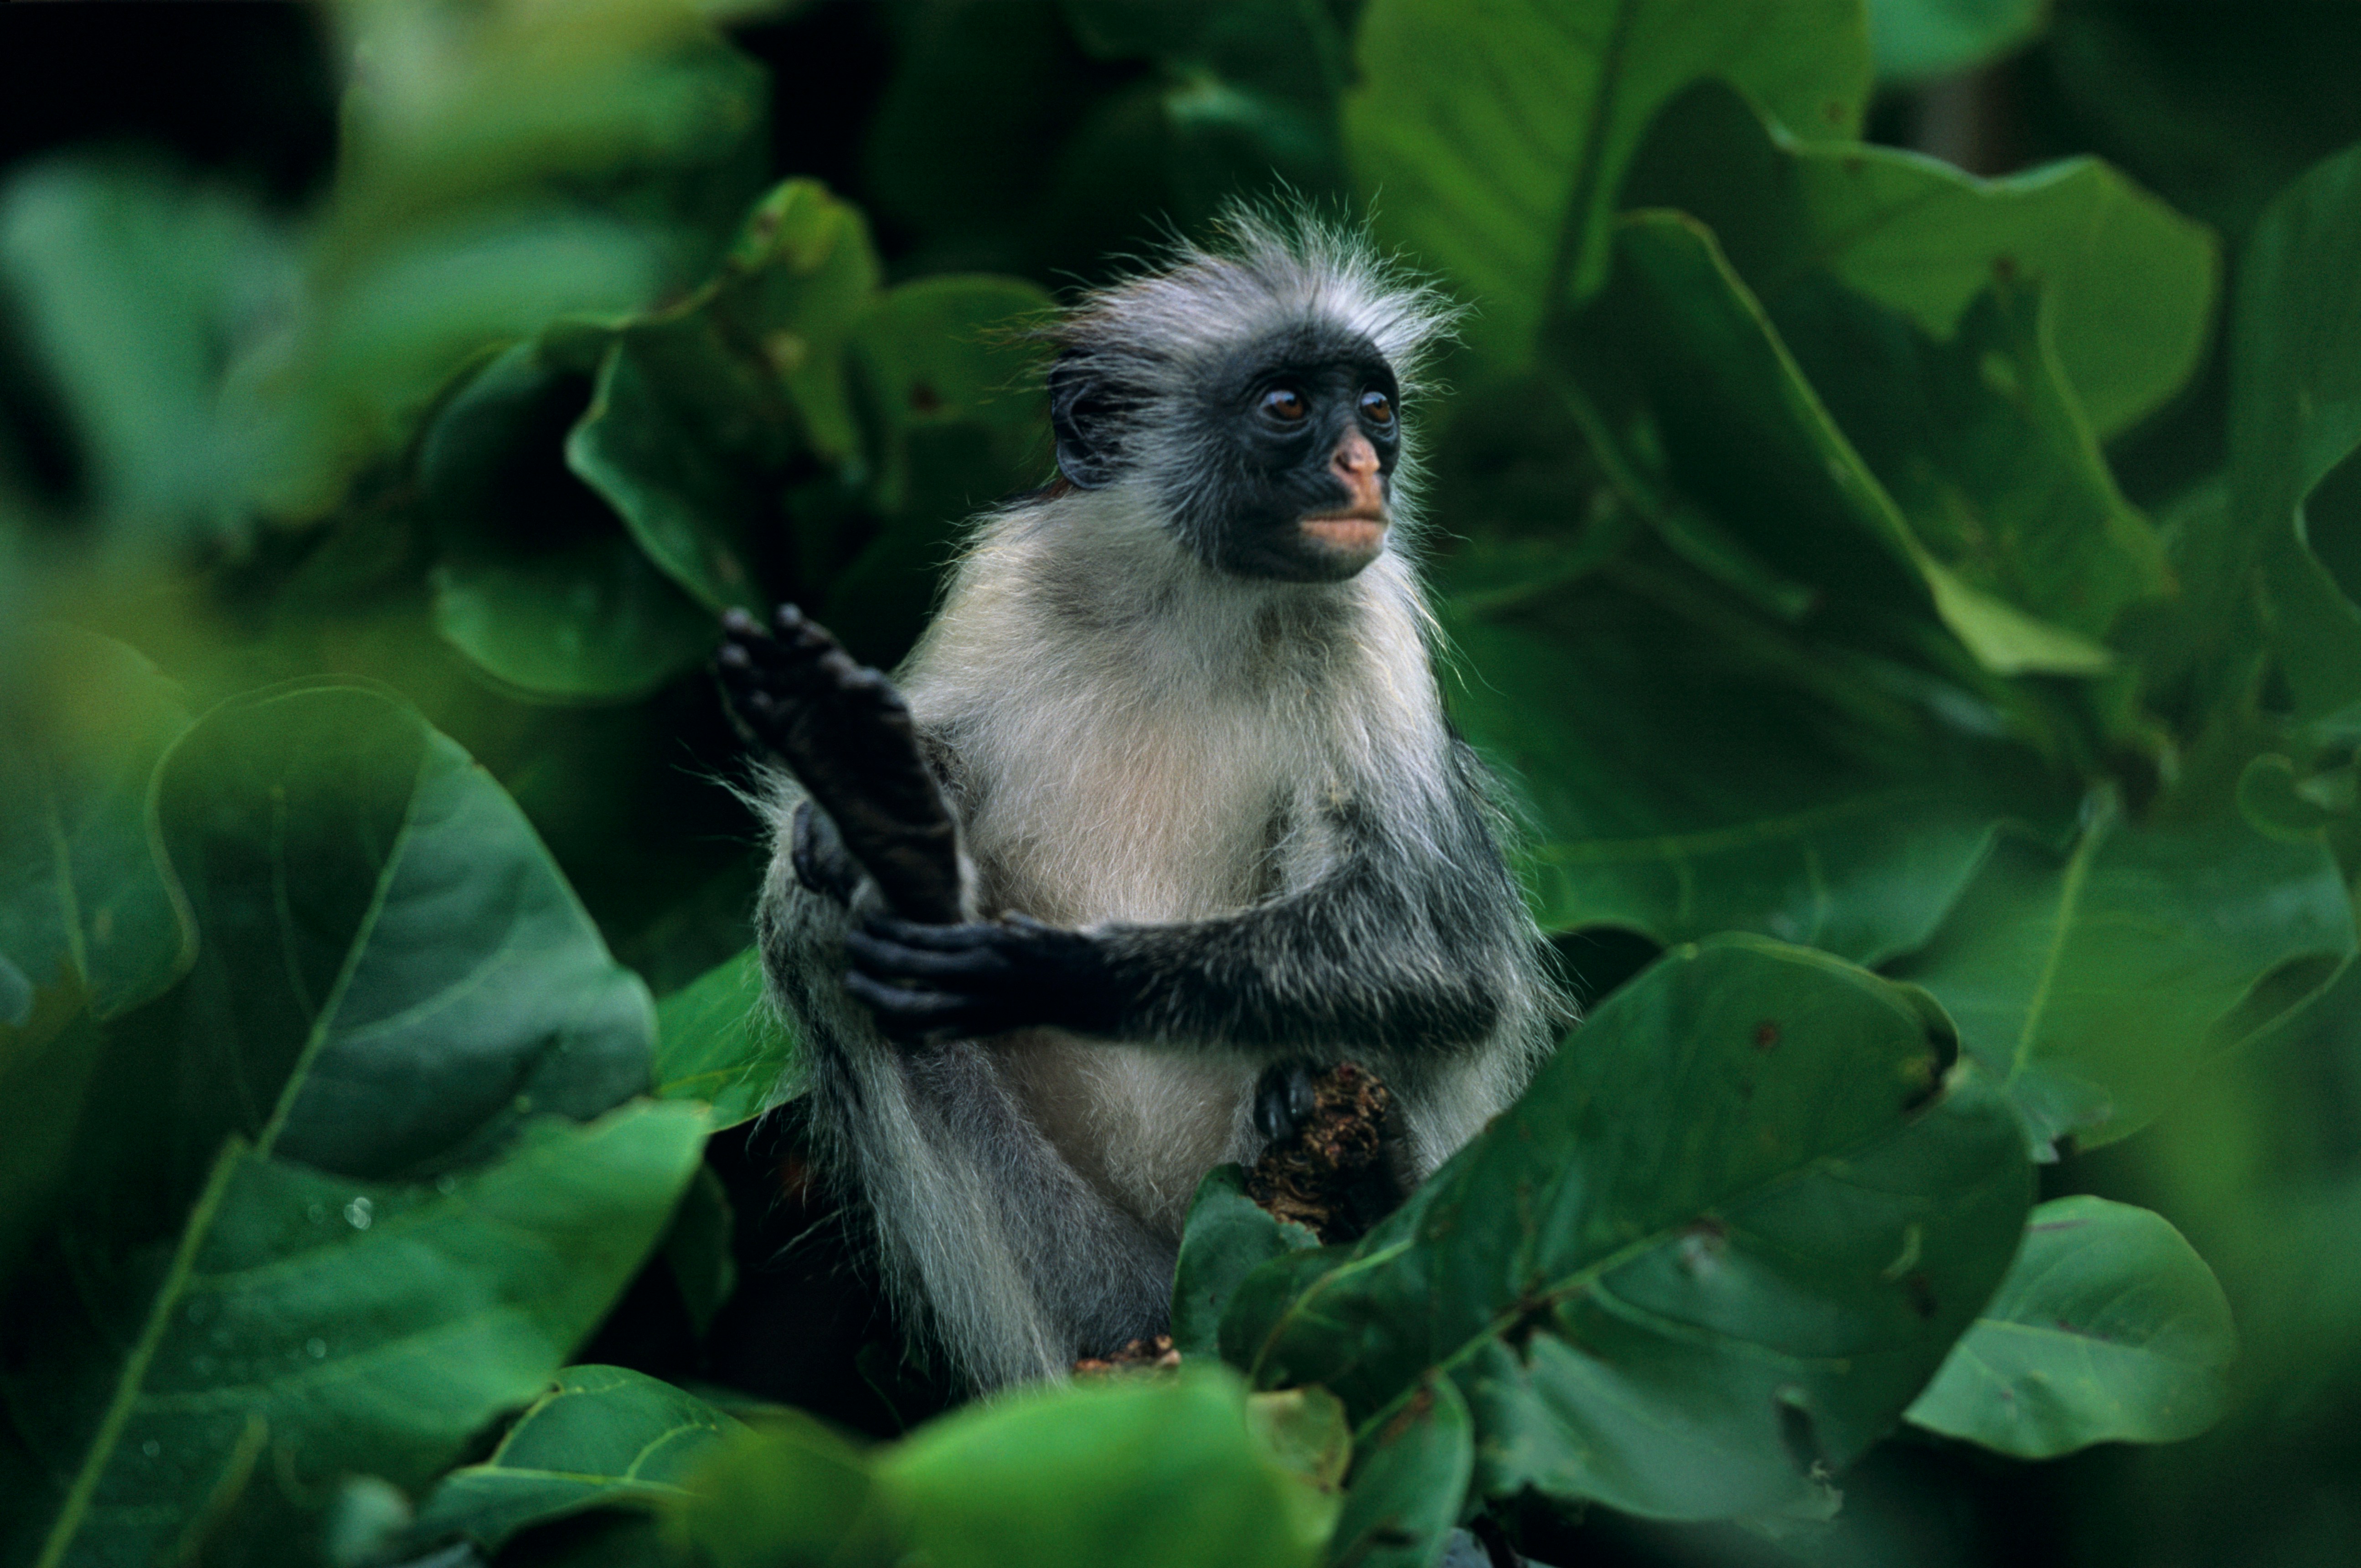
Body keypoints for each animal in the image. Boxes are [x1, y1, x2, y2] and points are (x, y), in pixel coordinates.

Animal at [717, 211, 1568, 1391]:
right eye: (1287, 406)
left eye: (1377, 410)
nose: (1362, 465)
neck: (1191, 602)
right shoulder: (1005, 578)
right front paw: (885, 806)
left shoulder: (1372, 611)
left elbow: (1451, 958)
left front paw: (1040, 966)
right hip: (1100, 1288)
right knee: (807, 921)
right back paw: (899, 844)